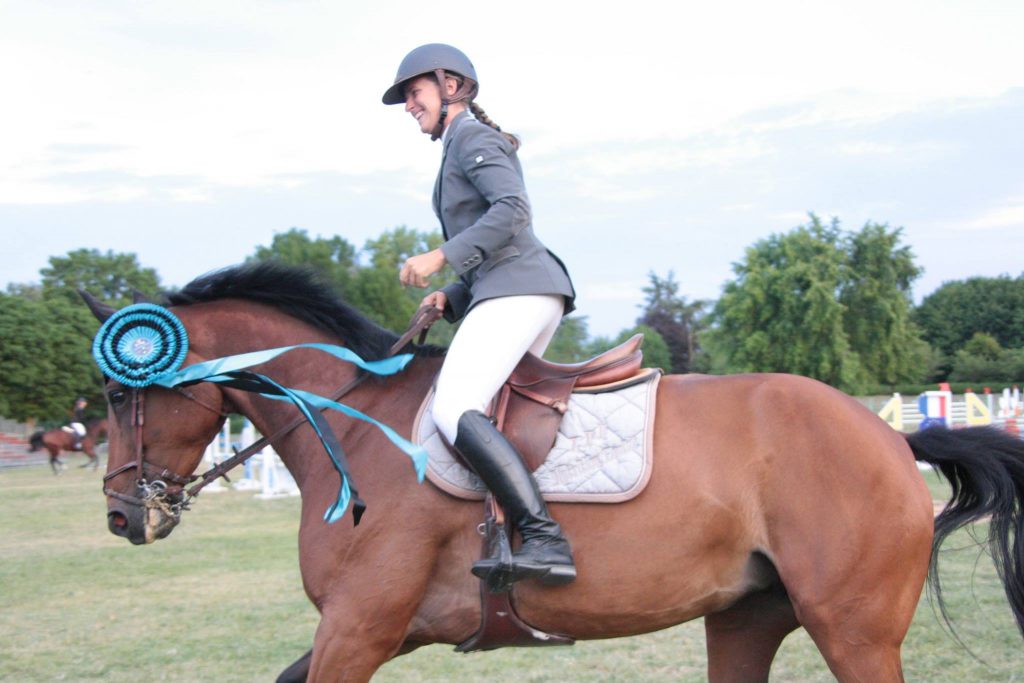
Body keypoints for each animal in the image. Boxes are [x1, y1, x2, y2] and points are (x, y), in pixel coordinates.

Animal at [81, 264, 1024, 683]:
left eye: (121, 391)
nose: (124, 515)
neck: (354, 422)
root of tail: (889, 440)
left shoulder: (358, 628)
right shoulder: (364, 631)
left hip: (852, 629)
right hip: (747, 616)